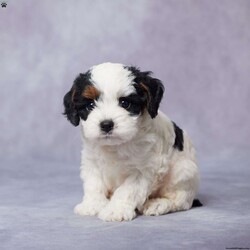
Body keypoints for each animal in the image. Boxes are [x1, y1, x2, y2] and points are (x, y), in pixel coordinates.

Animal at [63, 62, 202, 221]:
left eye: (125, 103)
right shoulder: (91, 163)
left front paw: (115, 210)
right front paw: (92, 205)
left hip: (184, 171)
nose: (106, 124)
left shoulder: (144, 169)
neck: (115, 146)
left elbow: (127, 190)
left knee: (180, 201)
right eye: (90, 105)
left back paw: (158, 204)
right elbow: (94, 184)